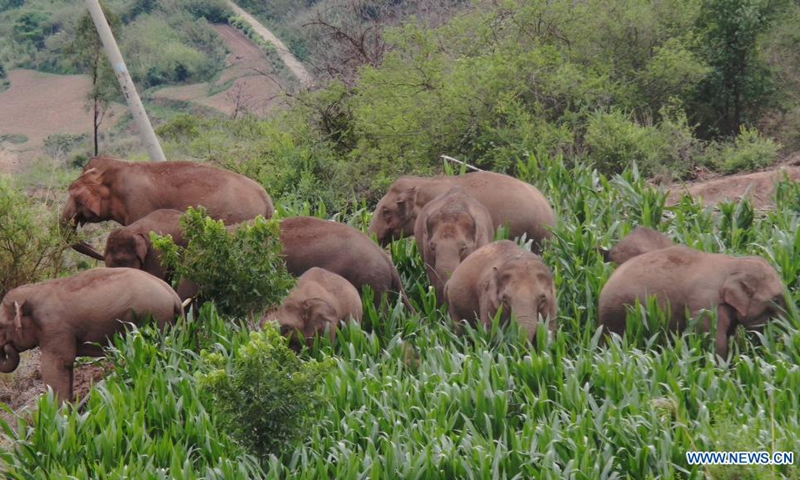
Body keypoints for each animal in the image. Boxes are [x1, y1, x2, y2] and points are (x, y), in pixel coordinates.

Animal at [0, 268, 182, 403]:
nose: (7, 348)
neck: (35, 289)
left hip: (155, 319)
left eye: (1, 325)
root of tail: (174, 296)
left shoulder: (55, 330)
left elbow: (56, 366)